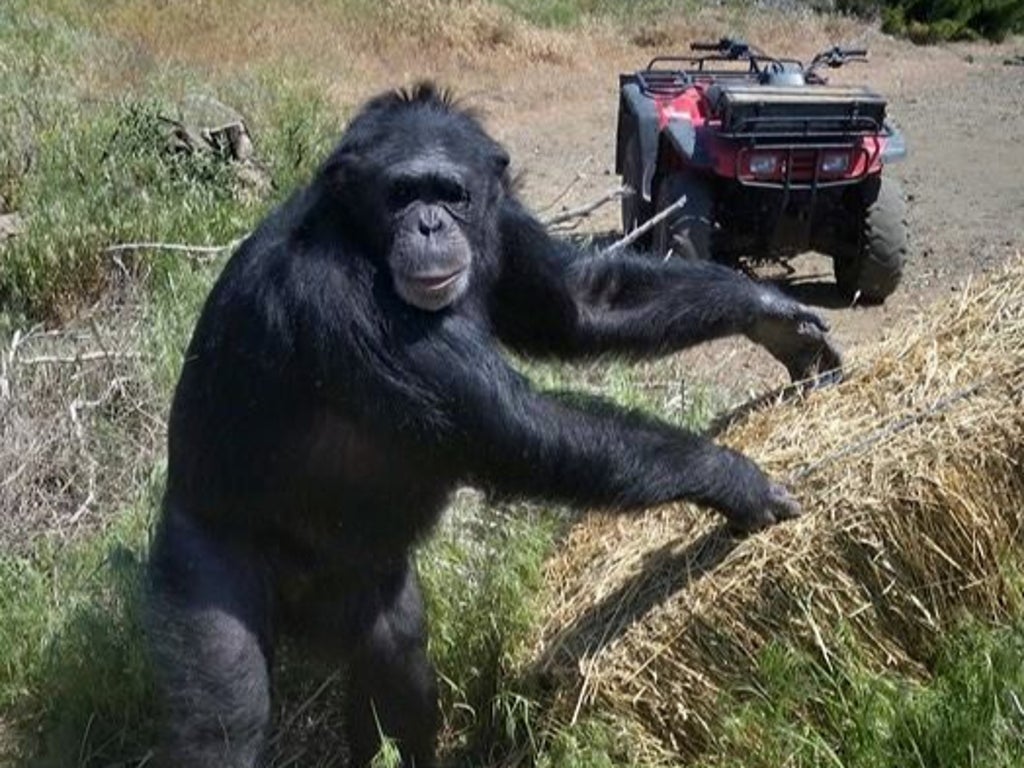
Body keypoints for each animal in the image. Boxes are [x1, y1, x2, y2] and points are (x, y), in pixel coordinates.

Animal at [148, 83, 843, 768]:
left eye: (450, 193)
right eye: (401, 194)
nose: (428, 224)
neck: (362, 239)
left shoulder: (505, 224)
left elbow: (585, 303)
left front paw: (771, 315)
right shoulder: (335, 293)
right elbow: (511, 426)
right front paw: (731, 477)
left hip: (364, 578)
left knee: (397, 660)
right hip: (202, 552)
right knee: (225, 714)